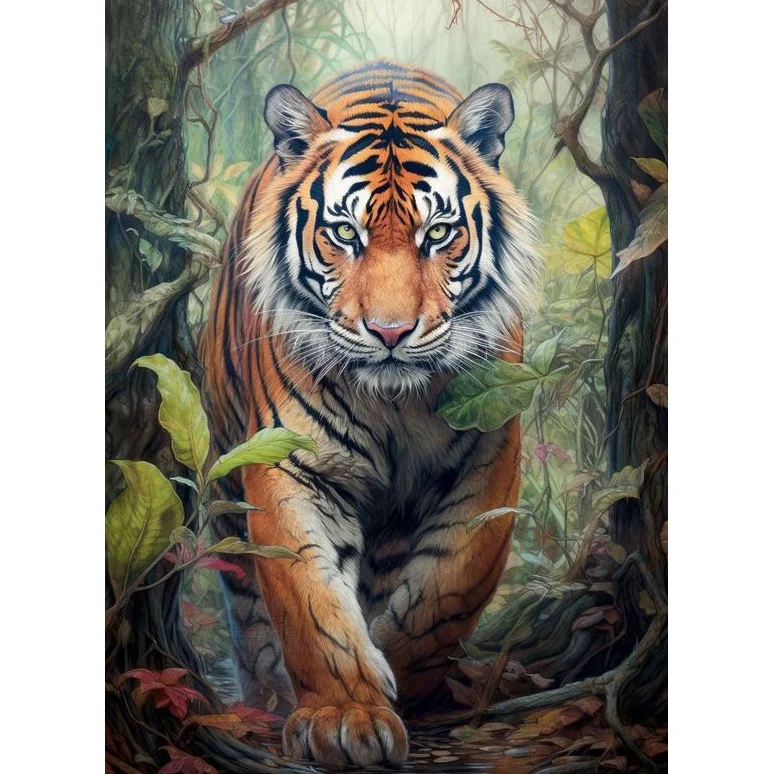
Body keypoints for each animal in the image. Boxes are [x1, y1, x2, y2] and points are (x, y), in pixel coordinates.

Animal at [200, 60, 541, 767]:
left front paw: (397, 679)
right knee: (248, 608)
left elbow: (443, 597)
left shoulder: (489, 461)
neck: (395, 405)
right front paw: (345, 717)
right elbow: (310, 603)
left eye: (437, 233)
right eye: (343, 234)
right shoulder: (291, 465)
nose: (389, 332)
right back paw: (265, 694)